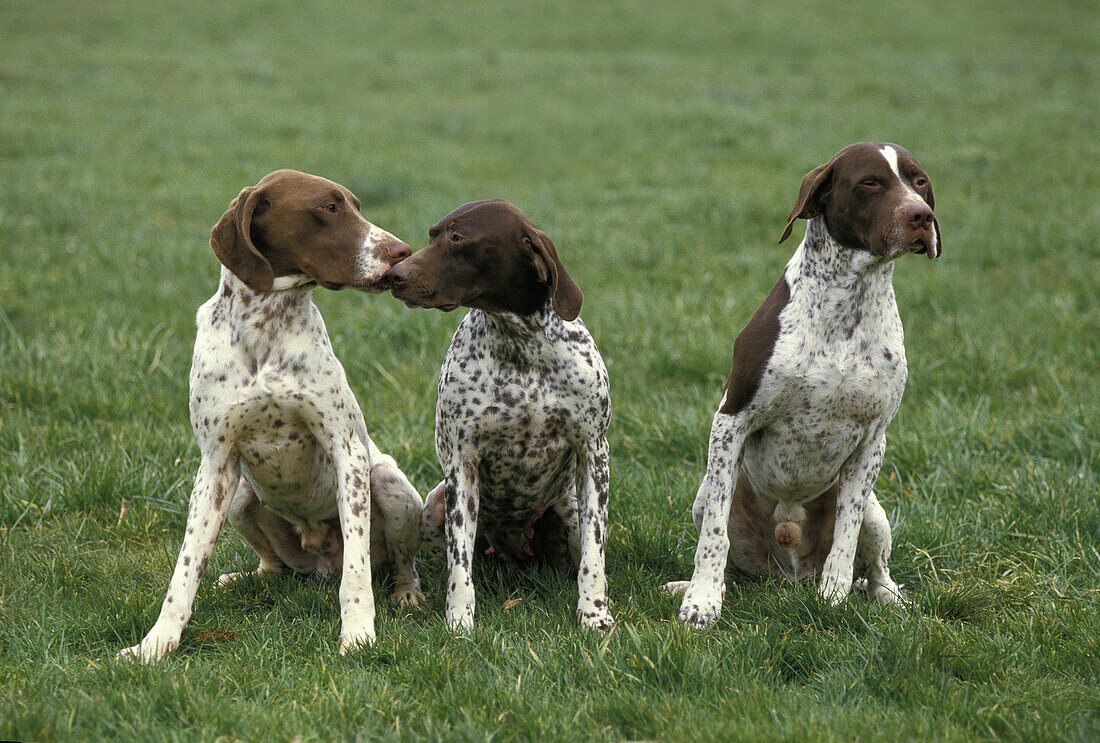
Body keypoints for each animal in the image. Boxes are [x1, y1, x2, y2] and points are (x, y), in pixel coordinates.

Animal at [119, 169, 424, 664]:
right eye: (328, 207)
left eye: (356, 205)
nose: (403, 252)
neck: (265, 324)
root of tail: (319, 562)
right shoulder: (215, 465)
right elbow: (185, 570)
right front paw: (156, 643)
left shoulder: (348, 454)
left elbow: (357, 572)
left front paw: (358, 633)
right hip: (241, 496)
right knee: (273, 567)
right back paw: (242, 579)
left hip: (387, 482)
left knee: (397, 563)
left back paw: (407, 593)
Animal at [382, 200, 616, 629]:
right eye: (433, 234)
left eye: (458, 238)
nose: (395, 275)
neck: (520, 346)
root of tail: (513, 555)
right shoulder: (463, 464)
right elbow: (459, 565)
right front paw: (459, 620)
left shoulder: (594, 454)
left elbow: (594, 555)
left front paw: (594, 613)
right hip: (434, 506)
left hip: (569, 509)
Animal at [664, 140, 941, 629]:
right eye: (870, 182)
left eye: (919, 180)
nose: (921, 216)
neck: (850, 301)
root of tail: (789, 574)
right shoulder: (731, 420)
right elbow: (713, 538)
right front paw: (701, 602)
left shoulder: (873, 442)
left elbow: (846, 538)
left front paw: (833, 598)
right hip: (703, 497)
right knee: (726, 554)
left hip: (876, 512)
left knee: (875, 569)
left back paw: (889, 598)